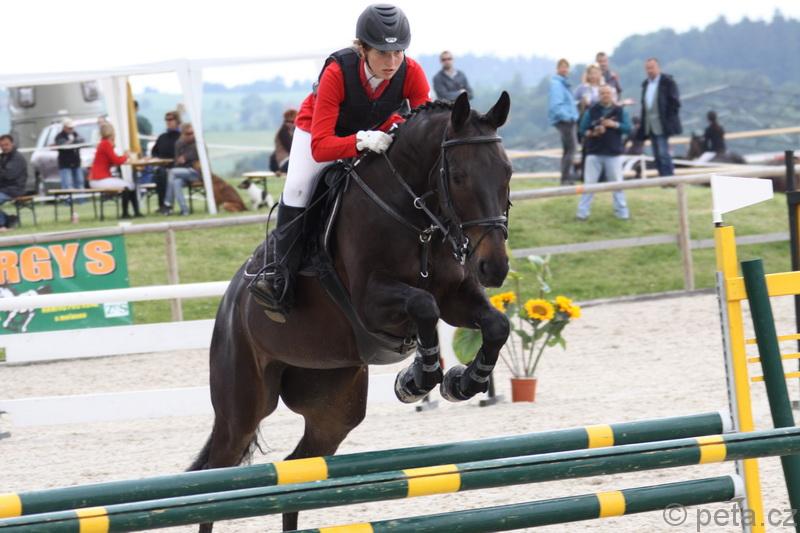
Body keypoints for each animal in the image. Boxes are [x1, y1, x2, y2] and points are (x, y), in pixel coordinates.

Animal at [188, 91, 513, 531]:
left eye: (507, 171)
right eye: (459, 176)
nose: (494, 268)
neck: (414, 217)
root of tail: (229, 304)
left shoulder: (457, 296)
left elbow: (496, 324)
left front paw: (463, 381)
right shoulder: (371, 303)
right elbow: (422, 305)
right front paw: (417, 380)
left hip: (333, 404)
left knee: (298, 469)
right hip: (241, 405)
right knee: (218, 477)